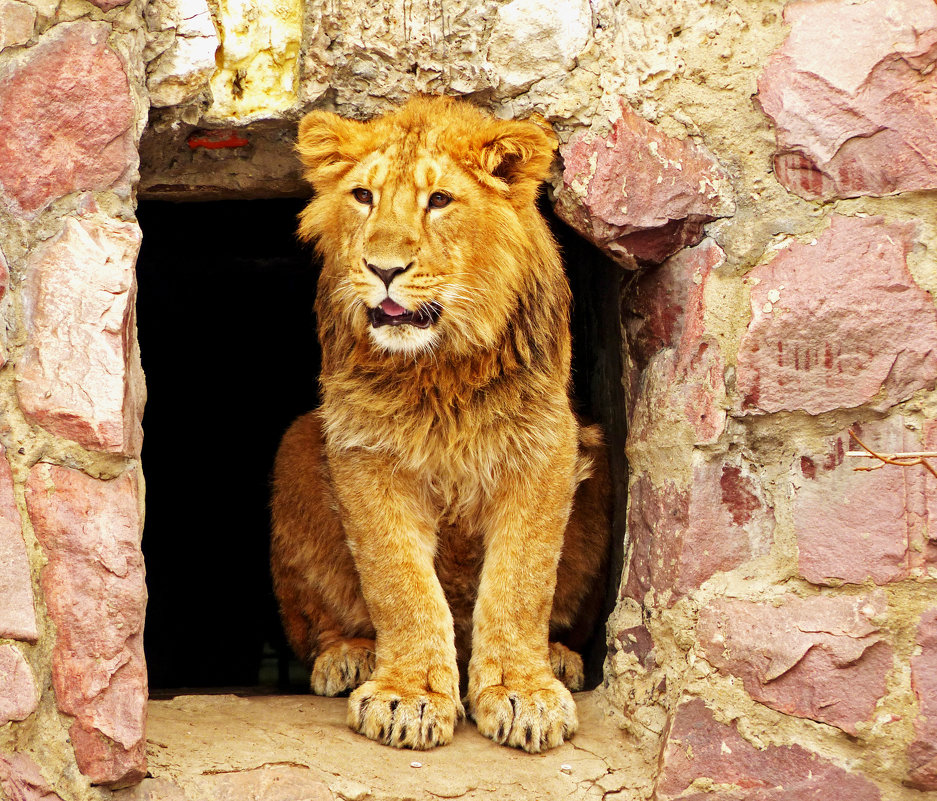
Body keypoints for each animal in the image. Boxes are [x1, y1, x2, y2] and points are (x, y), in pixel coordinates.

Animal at [266, 97, 612, 752]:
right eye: (363, 196)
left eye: (440, 200)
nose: (383, 268)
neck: (439, 368)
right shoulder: (364, 451)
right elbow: (398, 582)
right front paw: (410, 695)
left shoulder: (545, 446)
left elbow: (521, 581)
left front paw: (524, 692)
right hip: (296, 448)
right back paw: (350, 655)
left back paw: (559, 657)